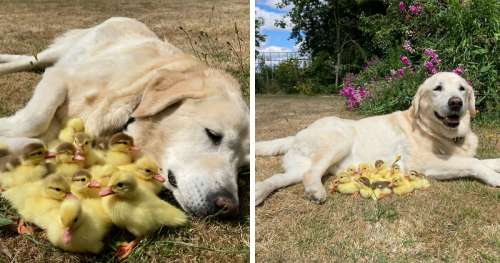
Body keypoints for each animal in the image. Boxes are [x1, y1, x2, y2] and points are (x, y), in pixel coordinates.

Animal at [0, 17, 249, 218]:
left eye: (242, 167)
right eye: (213, 134)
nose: (229, 207)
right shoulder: (59, 77)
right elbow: (35, 118)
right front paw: (6, 127)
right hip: (61, 52)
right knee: (30, 59)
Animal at [258, 72, 500, 206]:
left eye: (462, 89)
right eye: (437, 88)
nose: (456, 102)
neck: (434, 131)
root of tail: (298, 133)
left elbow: (483, 160)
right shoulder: (425, 163)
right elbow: (474, 163)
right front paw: (494, 178)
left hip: (297, 167)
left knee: (281, 178)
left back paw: (259, 192)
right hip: (341, 138)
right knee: (310, 174)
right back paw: (316, 191)